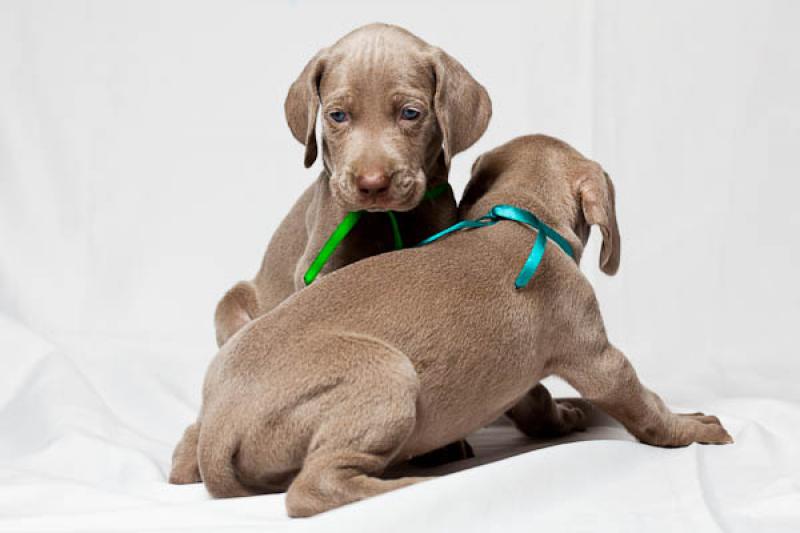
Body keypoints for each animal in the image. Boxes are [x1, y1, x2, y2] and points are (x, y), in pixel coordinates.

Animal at [169, 134, 732, 516]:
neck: (521, 217)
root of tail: (221, 426)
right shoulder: (596, 355)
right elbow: (644, 405)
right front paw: (691, 427)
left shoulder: (517, 373)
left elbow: (535, 402)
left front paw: (565, 417)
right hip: (387, 374)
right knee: (312, 488)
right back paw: (408, 485)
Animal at [212, 25, 490, 348]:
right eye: (338, 115)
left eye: (410, 113)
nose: (372, 184)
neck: (384, 219)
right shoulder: (318, 267)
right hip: (234, 300)